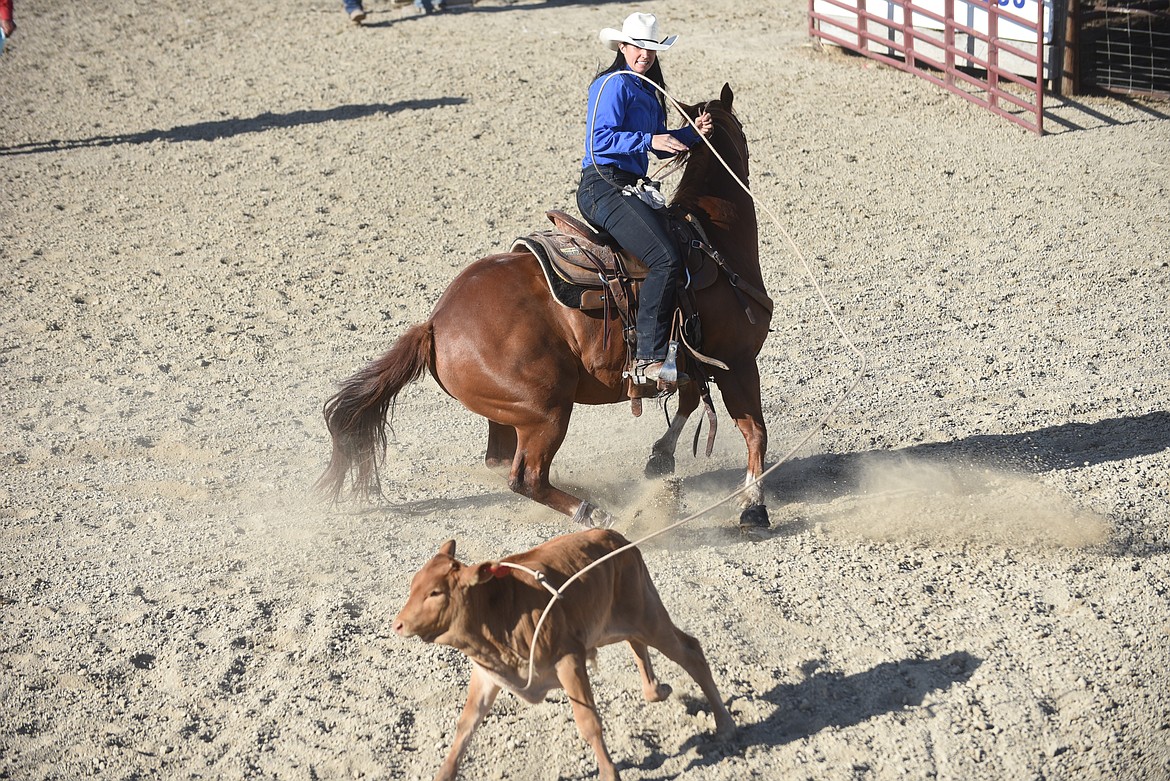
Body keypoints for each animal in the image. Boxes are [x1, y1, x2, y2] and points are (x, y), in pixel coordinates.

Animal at [320, 82, 772, 528]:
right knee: (527, 476)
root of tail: (434, 324)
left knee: (501, 460)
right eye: (743, 130)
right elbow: (754, 430)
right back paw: (596, 512)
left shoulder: (694, 355)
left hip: (509, 413)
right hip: (546, 410)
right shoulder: (737, 361)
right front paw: (753, 506)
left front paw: (660, 458)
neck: (711, 238)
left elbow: (689, 399)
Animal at [397, 528, 734, 776]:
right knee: (638, 646)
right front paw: (444, 773)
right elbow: (466, 725)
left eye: (435, 592)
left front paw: (609, 772)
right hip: (620, 622)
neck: (497, 609)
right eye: (413, 585)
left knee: (690, 652)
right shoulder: (488, 674)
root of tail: (620, 540)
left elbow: (589, 722)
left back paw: (725, 724)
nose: (398, 624)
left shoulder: (569, 659)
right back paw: (657, 690)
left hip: (649, 616)